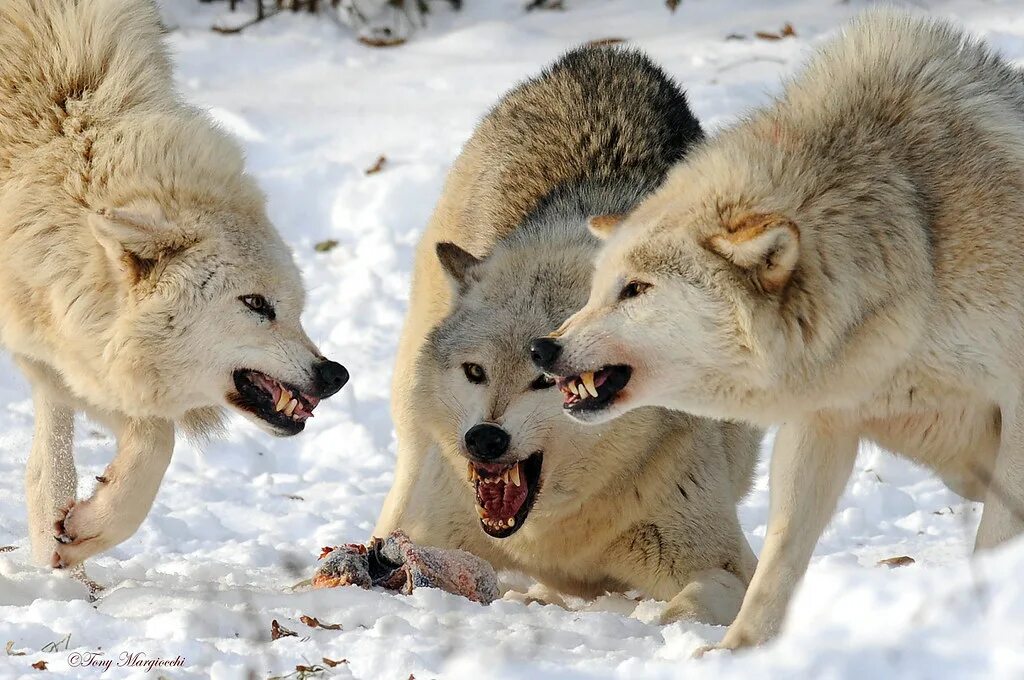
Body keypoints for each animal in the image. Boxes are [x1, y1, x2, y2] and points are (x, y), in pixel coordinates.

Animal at [0, 0, 348, 569]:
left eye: (296, 308)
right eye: (256, 304)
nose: (335, 374)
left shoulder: (62, 337)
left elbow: (150, 438)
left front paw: (79, 531)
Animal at [376, 45, 761, 622]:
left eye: (546, 378)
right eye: (474, 371)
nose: (484, 438)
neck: (554, 533)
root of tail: (604, 55)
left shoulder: (727, 561)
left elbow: (690, 606)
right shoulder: (438, 530)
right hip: (412, 421)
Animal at [532, 7, 1024, 651]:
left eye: (635, 290)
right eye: (596, 290)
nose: (543, 347)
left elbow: (994, 540)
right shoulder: (823, 421)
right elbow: (780, 555)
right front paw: (737, 650)